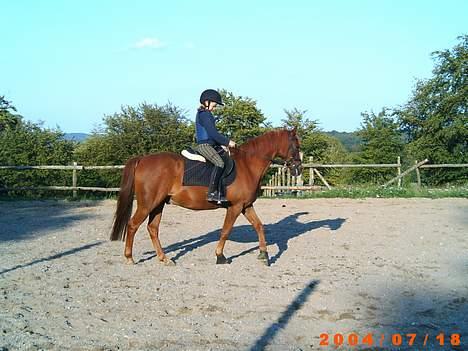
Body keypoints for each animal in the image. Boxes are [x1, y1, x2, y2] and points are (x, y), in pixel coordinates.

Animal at [109, 129, 302, 266]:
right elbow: (225, 231)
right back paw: (129, 258)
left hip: (158, 204)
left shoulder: (246, 206)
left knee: (152, 229)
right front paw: (220, 256)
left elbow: (259, 226)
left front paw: (264, 255)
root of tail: (142, 159)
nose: (298, 169)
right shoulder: (235, 207)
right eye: (296, 146)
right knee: (133, 225)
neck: (248, 165)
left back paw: (164, 259)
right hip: (147, 204)